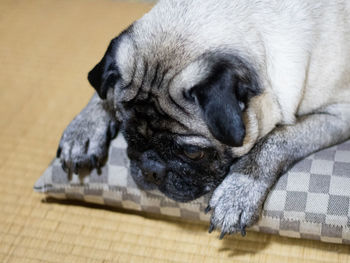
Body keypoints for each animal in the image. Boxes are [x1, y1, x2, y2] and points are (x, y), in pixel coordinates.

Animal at [55, 0, 350, 238]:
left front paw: (240, 189)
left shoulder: (339, 115)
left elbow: (277, 139)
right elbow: (102, 93)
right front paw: (84, 129)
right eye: (129, 137)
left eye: (193, 153)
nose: (151, 169)